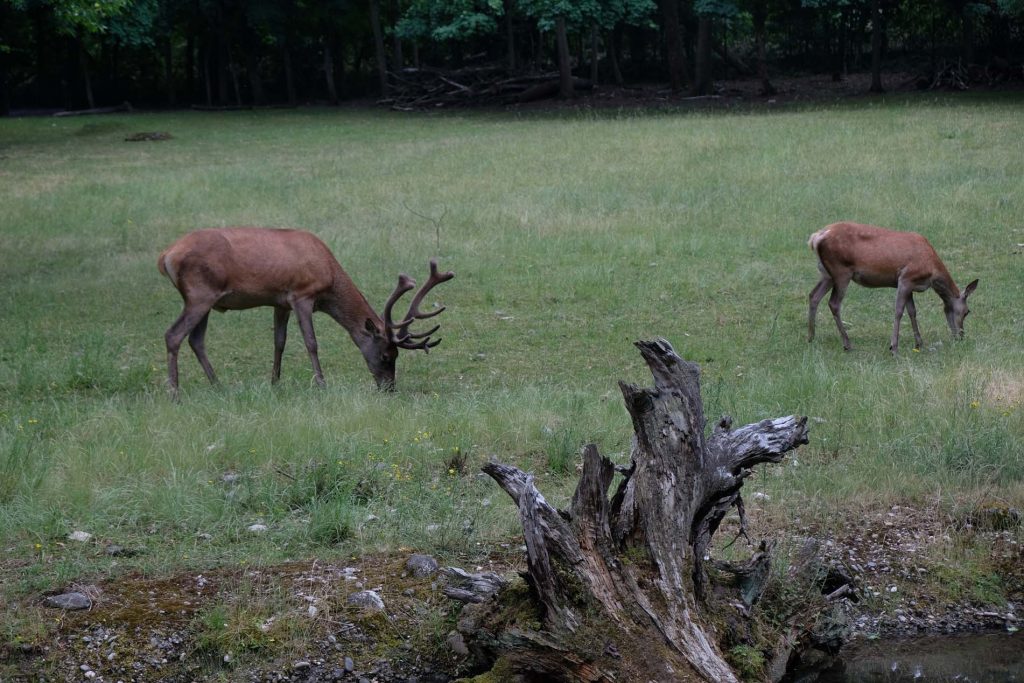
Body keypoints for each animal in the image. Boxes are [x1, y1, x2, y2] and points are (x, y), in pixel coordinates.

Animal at [157, 227, 454, 393]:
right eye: (386, 355)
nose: (389, 388)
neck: (329, 277)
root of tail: (166, 255)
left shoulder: (280, 302)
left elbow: (279, 341)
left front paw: (275, 384)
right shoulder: (302, 293)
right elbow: (311, 342)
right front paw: (321, 384)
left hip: (205, 298)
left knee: (196, 340)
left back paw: (218, 386)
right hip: (200, 293)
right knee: (173, 334)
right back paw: (174, 392)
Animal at [806, 223, 974, 356]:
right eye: (967, 312)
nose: (961, 336)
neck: (932, 272)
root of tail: (816, 238)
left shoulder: (910, 285)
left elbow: (912, 311)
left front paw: (919, 343)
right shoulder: (906, 278)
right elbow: (899, 311)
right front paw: (894, 347)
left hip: (826, 273)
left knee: (813, 295)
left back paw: (811, 337)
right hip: (841, 271)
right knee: (833, 303)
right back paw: (847, 344)